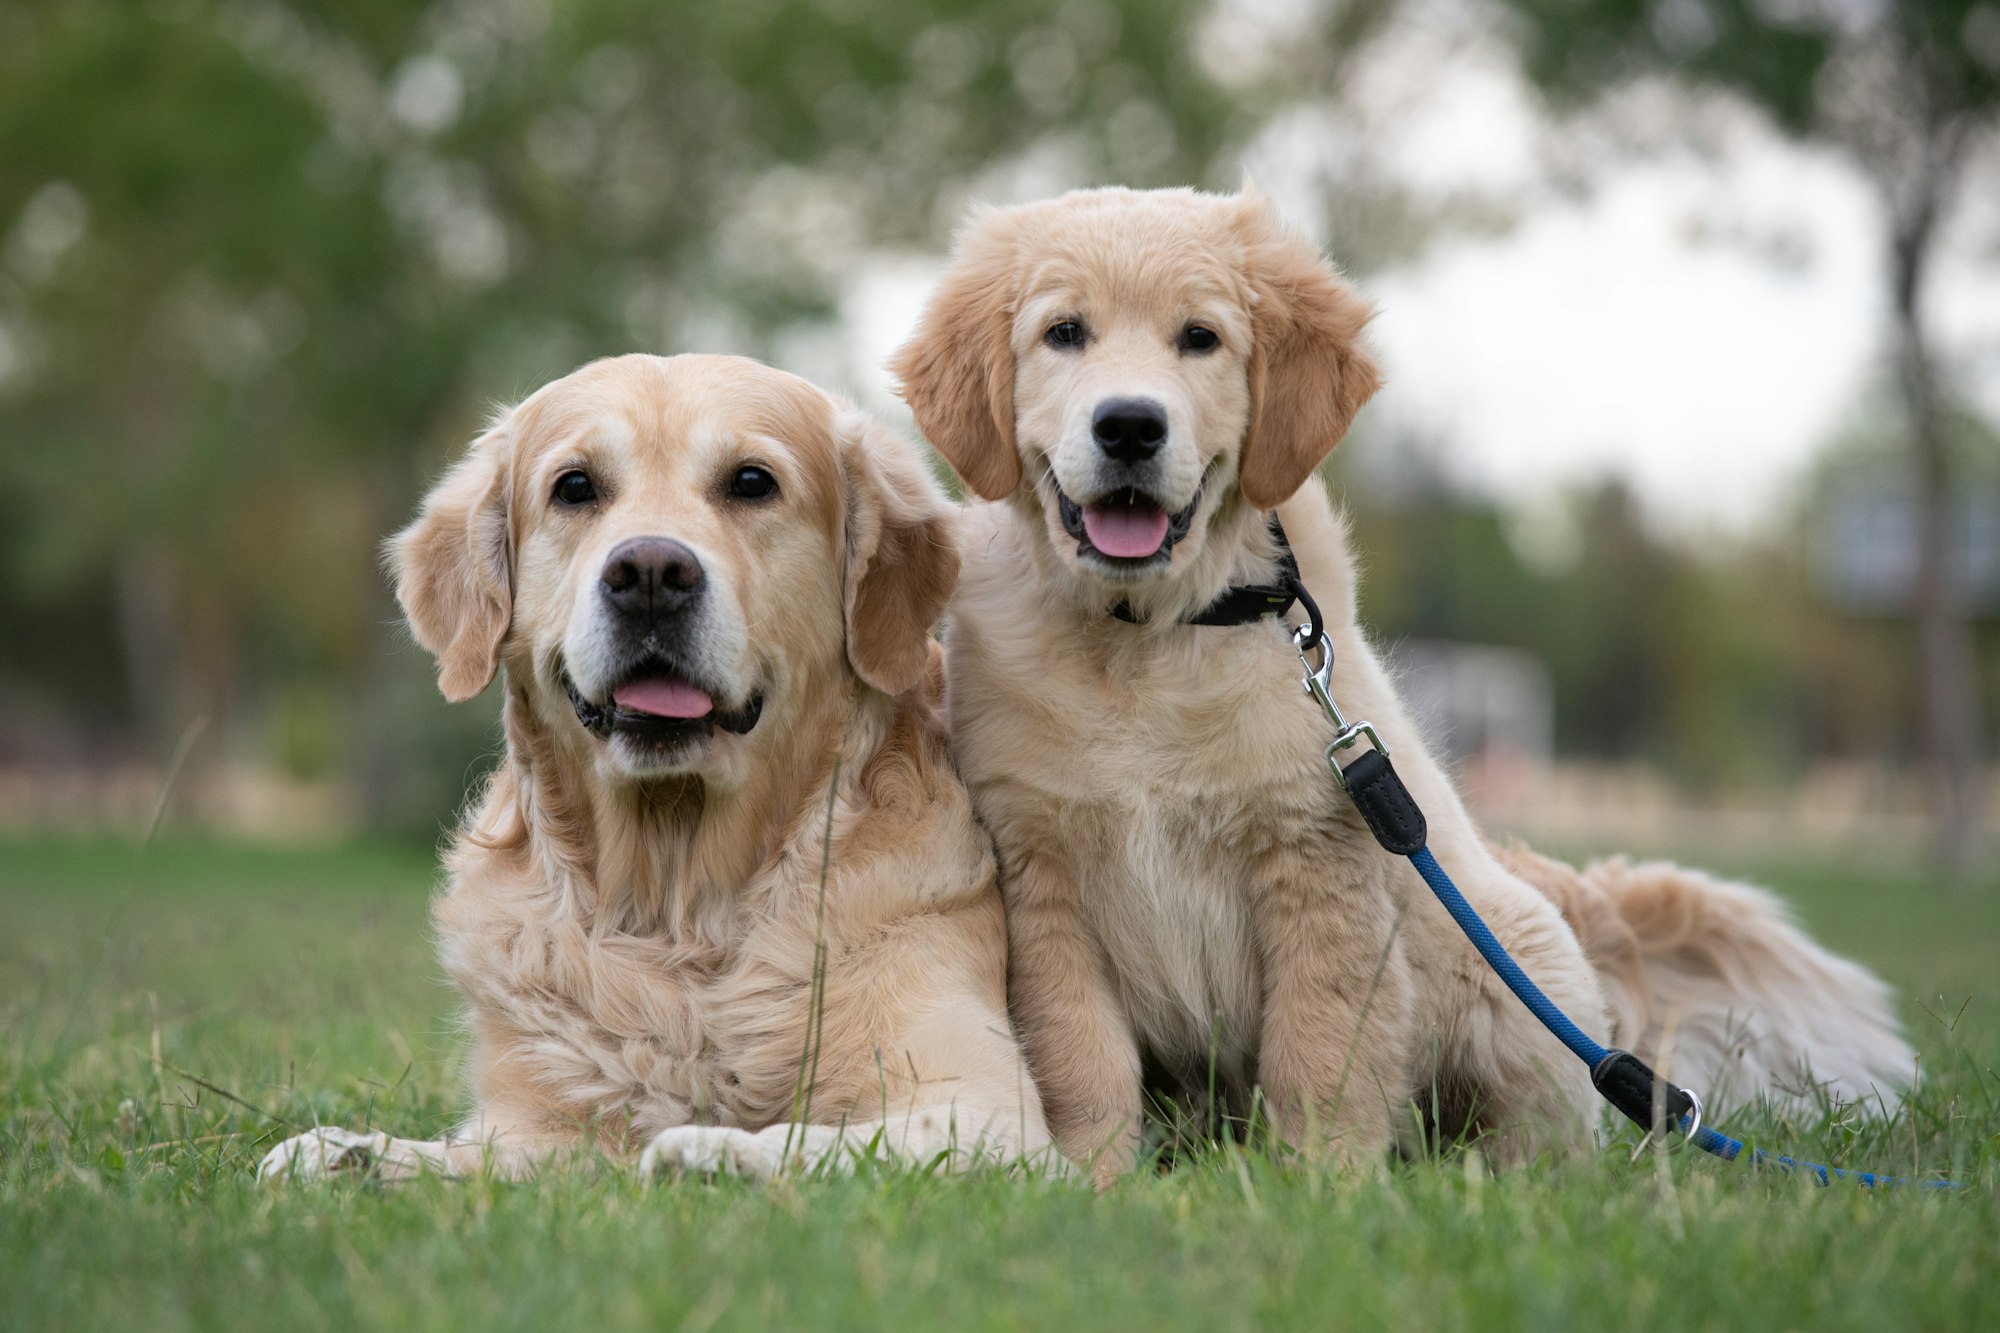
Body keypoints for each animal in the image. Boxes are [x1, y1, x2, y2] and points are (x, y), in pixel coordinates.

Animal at [262, 350, 1064, 1176]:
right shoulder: (533, 1127)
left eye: (752, 481)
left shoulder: (988, 1112)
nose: (649, 572)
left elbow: (816, 1138)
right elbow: (465, 1160)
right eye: (574, 486)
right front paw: (346, 1150)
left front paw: (707, 1145)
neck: (678, 911)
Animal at [900, 184, 1912, 1176]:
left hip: (1507, 967)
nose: (1129, 425)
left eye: (1201, 337)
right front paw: (1093, 1181)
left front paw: (1321, 1186)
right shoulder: (1043, 878)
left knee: (1558, 1123)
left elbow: (1320, 1047)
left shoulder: (1322, 862)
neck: (1148, 638)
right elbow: (1081, 1059)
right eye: (1064, 332)